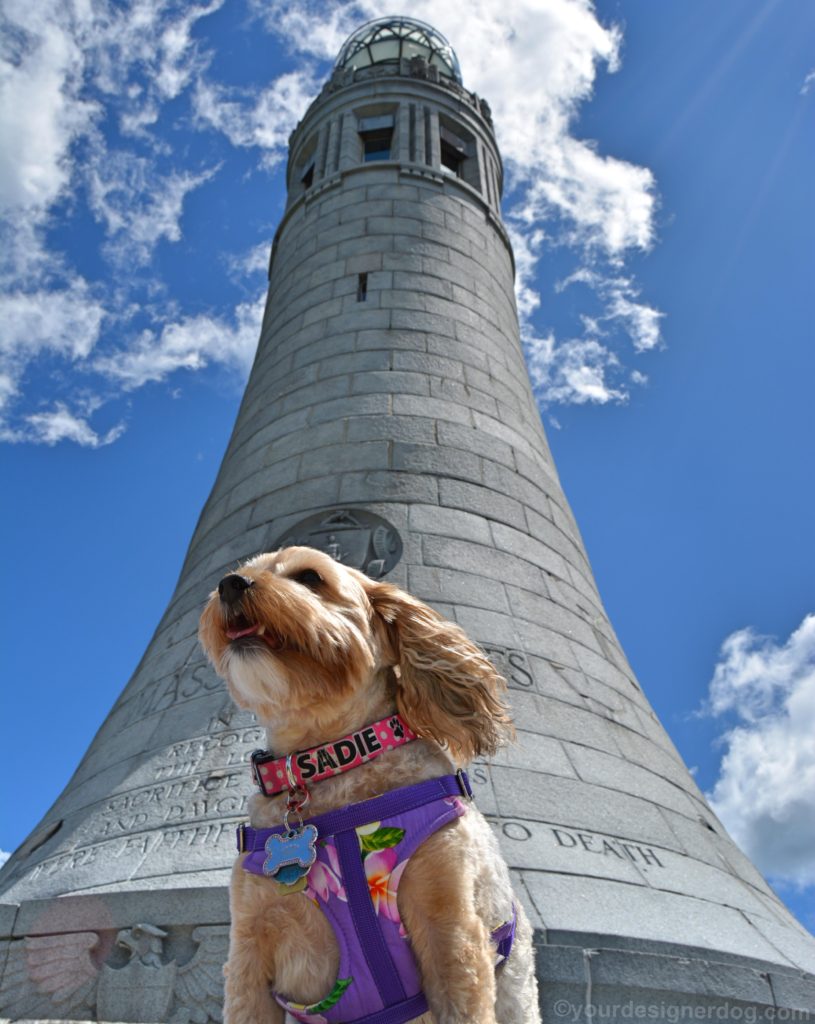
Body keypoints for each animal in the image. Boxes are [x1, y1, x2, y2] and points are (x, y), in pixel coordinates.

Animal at [197, 544, 540, 1024]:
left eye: (310, 577)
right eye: (242, 571)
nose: (230, 584)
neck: (332, 767)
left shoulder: (451, 929)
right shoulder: (250, 945)